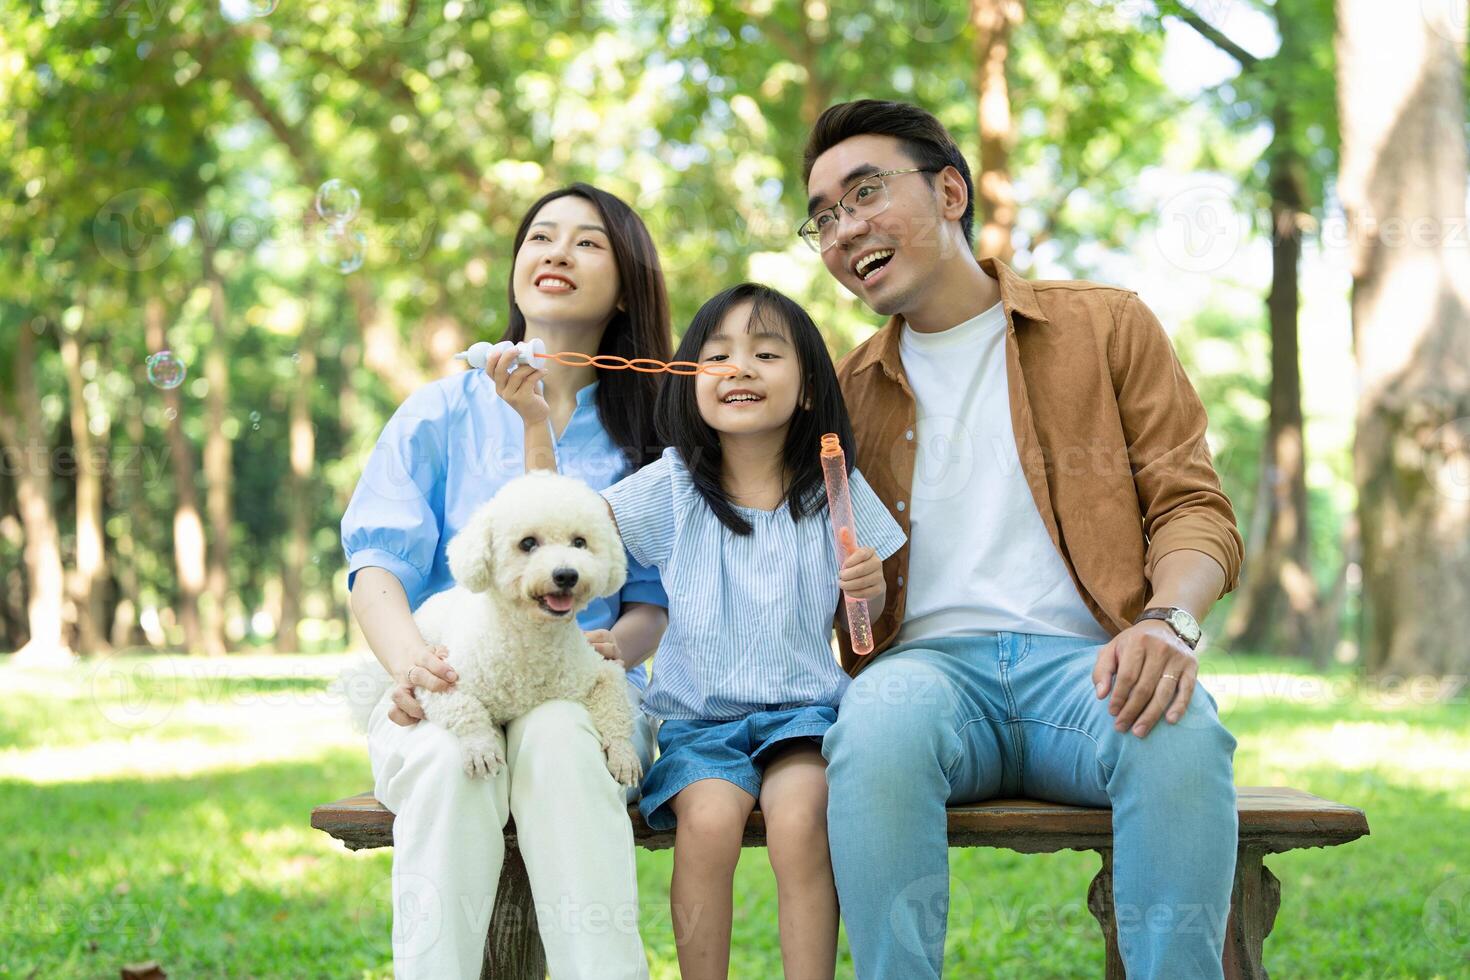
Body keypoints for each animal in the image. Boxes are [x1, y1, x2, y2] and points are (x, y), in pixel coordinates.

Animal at [346, 470, 646, 787]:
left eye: (579, 542)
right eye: (528, 543)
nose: (566, 575)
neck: (530, 643)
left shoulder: (600, 670)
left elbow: (615, 704)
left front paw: (623, 753)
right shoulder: (437, 680)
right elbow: (465, 708)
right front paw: (480, 748)